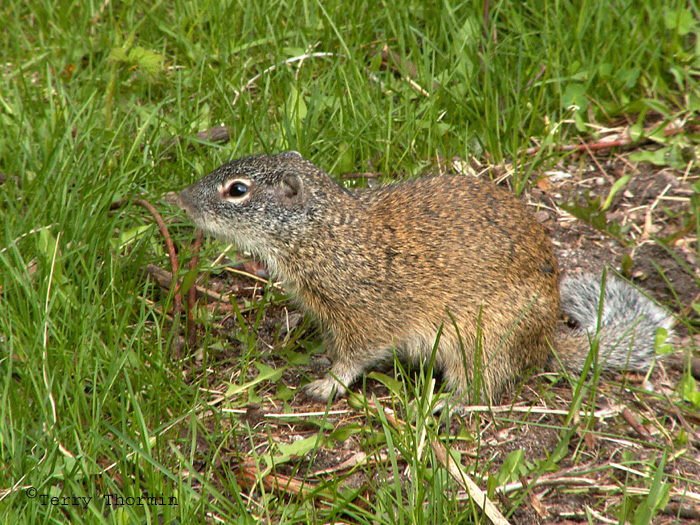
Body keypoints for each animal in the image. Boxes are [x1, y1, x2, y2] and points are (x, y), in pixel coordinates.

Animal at [179, 150, 672, 402]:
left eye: (237, 190)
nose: (177, 198)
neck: (326, 233)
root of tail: (546, 339)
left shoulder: (363, 318)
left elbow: (354, 359)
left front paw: (327, 385)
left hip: (481, 341)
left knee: (484, 387)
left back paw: (449, 404)